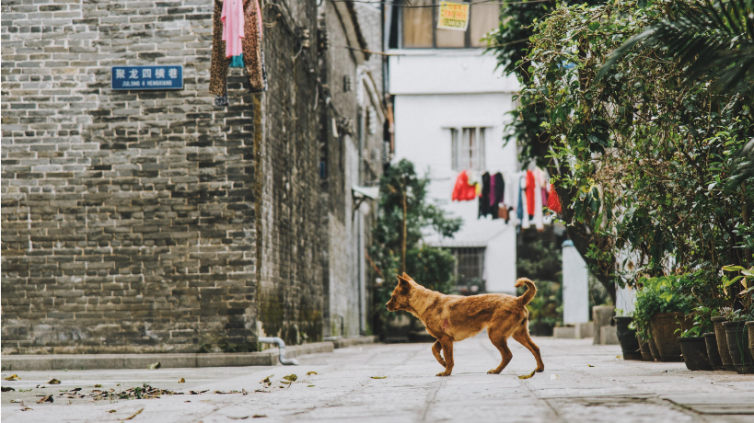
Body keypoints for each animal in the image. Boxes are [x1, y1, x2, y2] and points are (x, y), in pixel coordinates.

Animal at [384, 274, 544, 378]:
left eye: (392, 297)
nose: (385, 305)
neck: (426, 302)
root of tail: (518, 300)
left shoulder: (445, 340)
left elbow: (449, 358)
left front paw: (446, 372)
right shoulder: (444, 338)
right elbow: (434, 350)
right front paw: (442, 362)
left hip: (495, 334)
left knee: (507, 354)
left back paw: (496, 371)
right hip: (519, 334)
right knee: (535, 348)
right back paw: (540, 368)